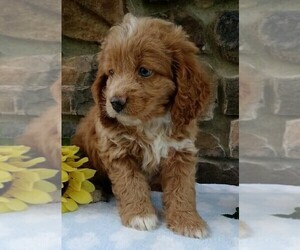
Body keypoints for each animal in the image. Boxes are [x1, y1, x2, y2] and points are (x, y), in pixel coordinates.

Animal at [73, 14, 211, 238]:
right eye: (111, 72)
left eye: (144, 71)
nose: (114, 103)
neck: (149, 122)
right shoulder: (118, 151)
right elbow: (131, 183)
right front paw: (140, 215)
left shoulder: (181, 151)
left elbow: (182, 188)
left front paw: (188, 221)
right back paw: (95, 191)